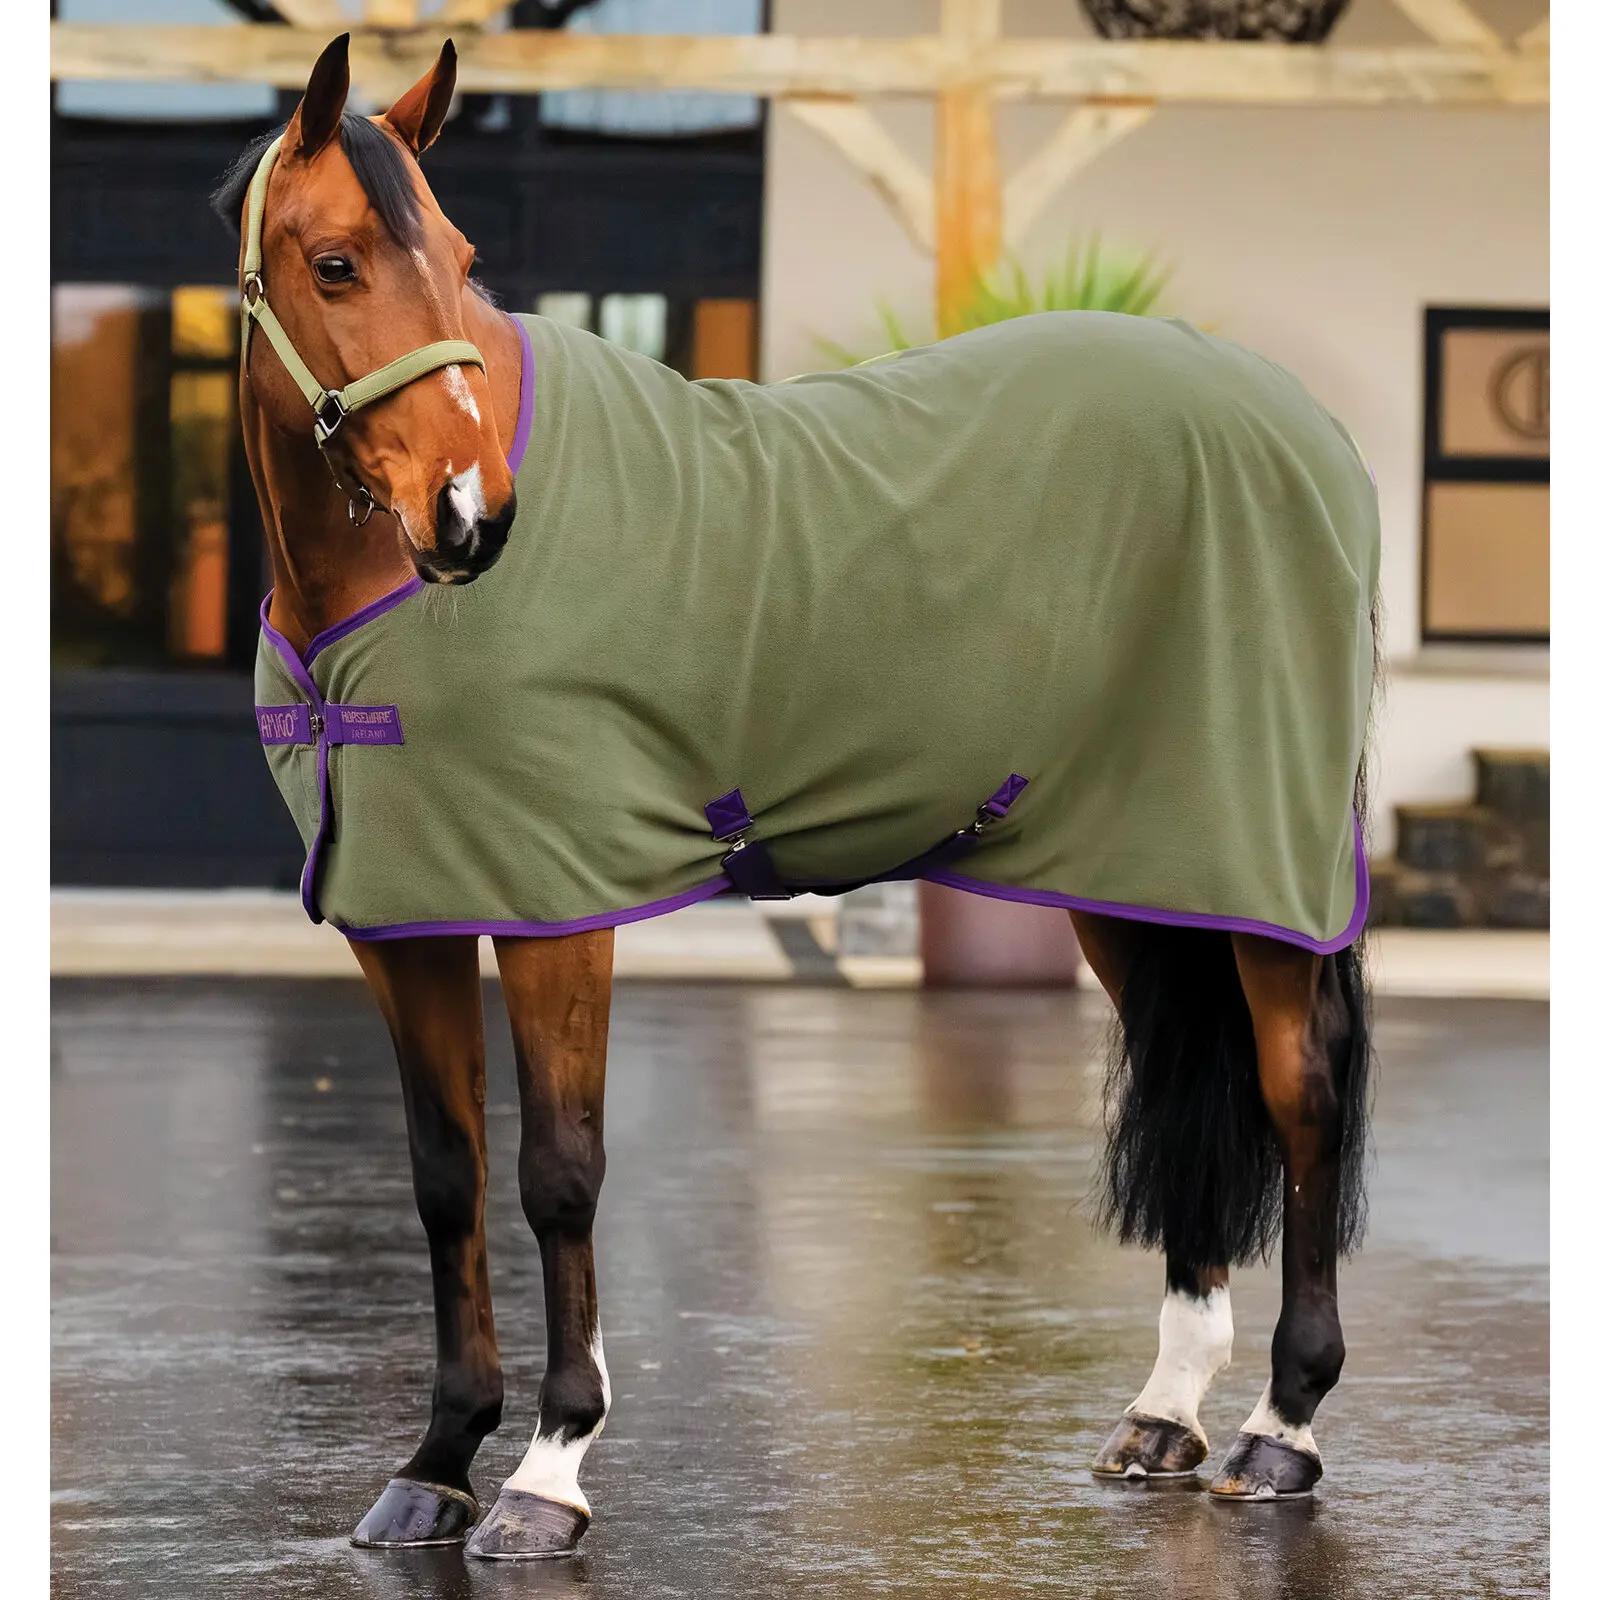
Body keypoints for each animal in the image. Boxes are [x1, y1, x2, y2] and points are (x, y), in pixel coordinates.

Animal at [215, 33, 1379, 1561]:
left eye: (462, 258)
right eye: (338, 263)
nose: (475, 515)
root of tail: (1307, 427)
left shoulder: (555, 912)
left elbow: (559, 1174)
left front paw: (547, 1474)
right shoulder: (403, 920)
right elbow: (445, 1177)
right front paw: (434, 1463)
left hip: (1259, 868)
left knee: (1299, 1094)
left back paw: (1281, 1428)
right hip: (1140, 869)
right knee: (1201, 1073)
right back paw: (1164, 1418)